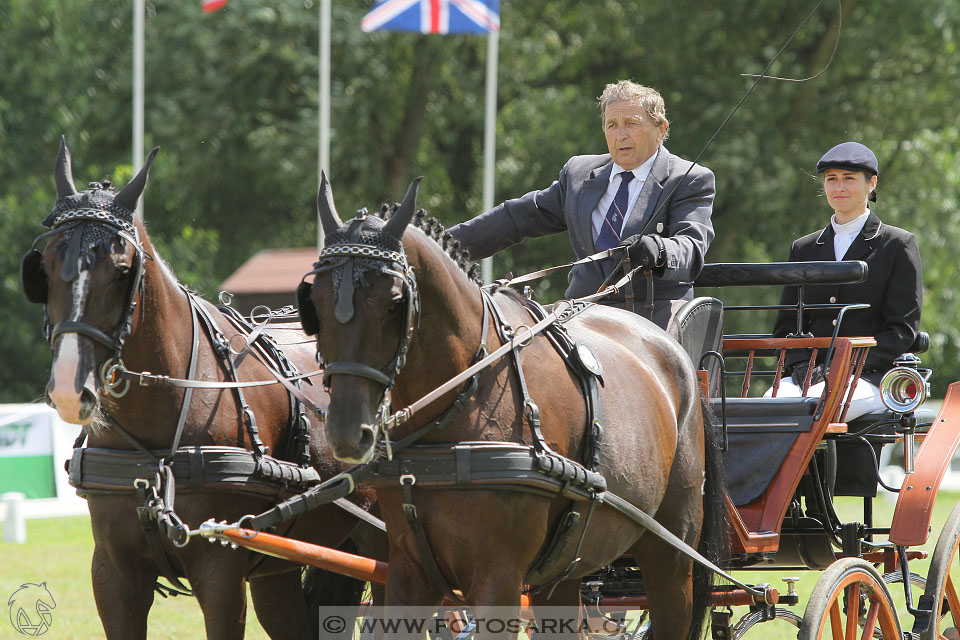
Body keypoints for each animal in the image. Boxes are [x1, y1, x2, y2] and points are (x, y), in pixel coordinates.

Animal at [296, 175, 724, 640]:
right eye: (315, 302)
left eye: (395, 303)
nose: (345, 432)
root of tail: (679, 356)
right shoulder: (409, 570)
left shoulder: (497, 578)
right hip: (565, 568)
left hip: (671, 559)